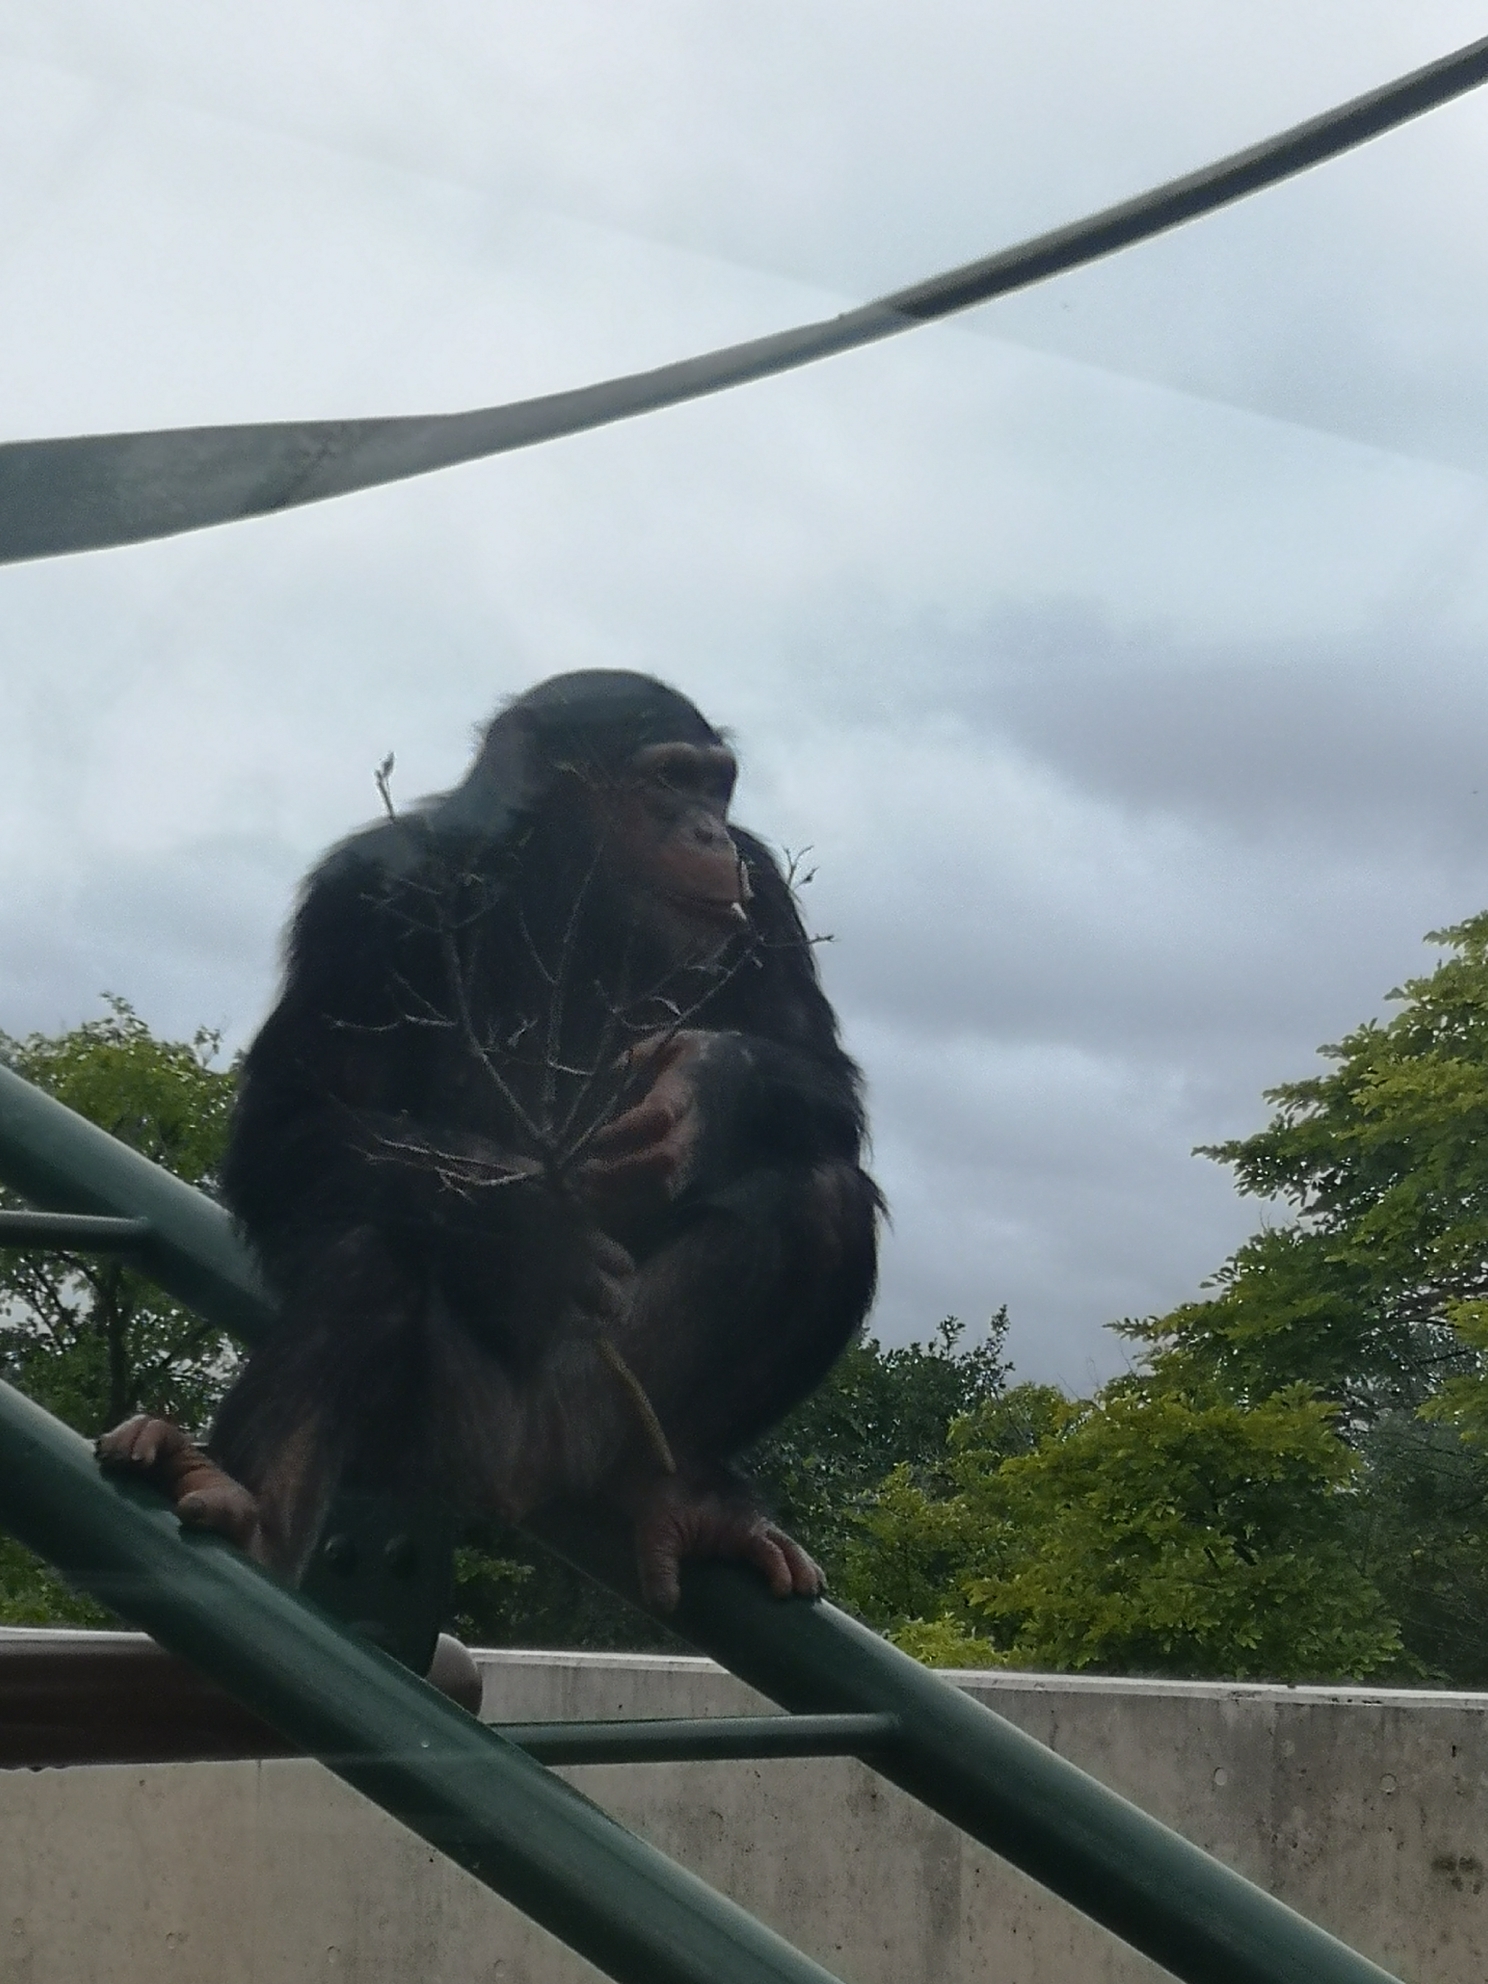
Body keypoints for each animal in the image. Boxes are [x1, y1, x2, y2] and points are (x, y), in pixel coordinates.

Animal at [99, 666, 880, 1611]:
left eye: (716, 786)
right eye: (669, 779)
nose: (708, 832)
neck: (561, 886)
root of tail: (515, 1475)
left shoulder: (759, 886)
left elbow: (823, 1082)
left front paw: (702, 1088)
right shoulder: (361, 898)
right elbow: (289, 1119)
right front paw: (522, 1229)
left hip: (603, 1414)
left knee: (823, 1197)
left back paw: (686, 1494)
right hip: (428, 1445)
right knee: (368, 1253)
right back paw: (245, 1508)